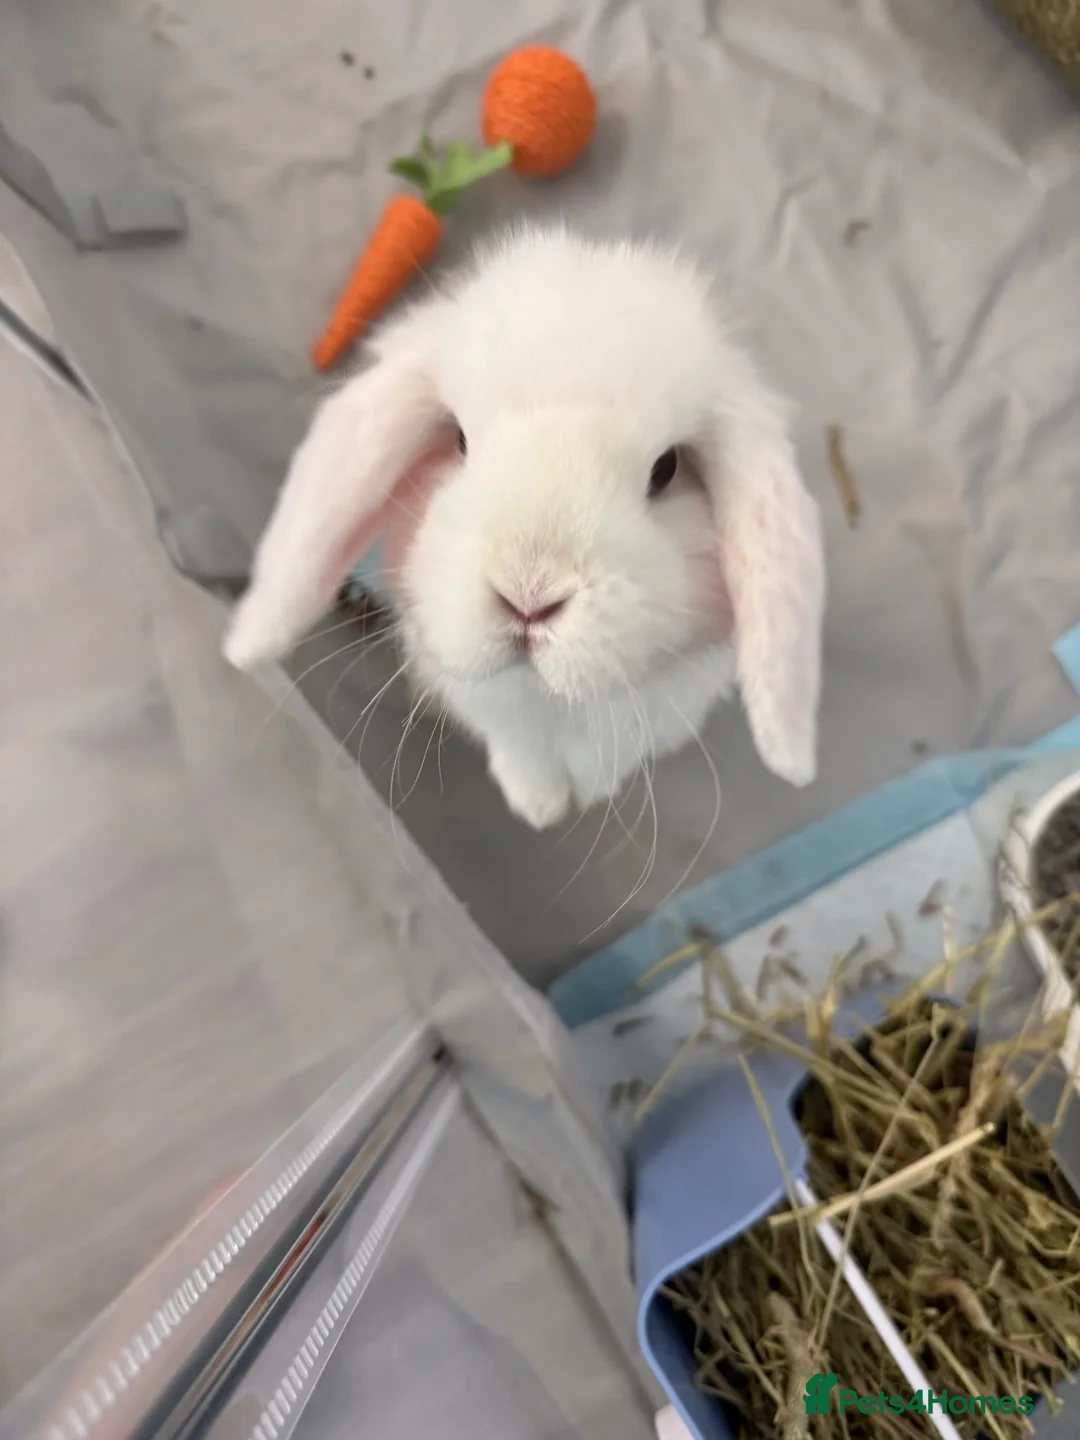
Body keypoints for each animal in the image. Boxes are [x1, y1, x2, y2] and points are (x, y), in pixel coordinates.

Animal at [224, 227, 826, 830]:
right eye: (460, 440)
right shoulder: (501, 720)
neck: (550, 701)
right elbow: (523, 757)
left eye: (666, 469)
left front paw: (587, 795)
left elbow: (600, 764)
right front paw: (538, 807)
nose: (529, 598)